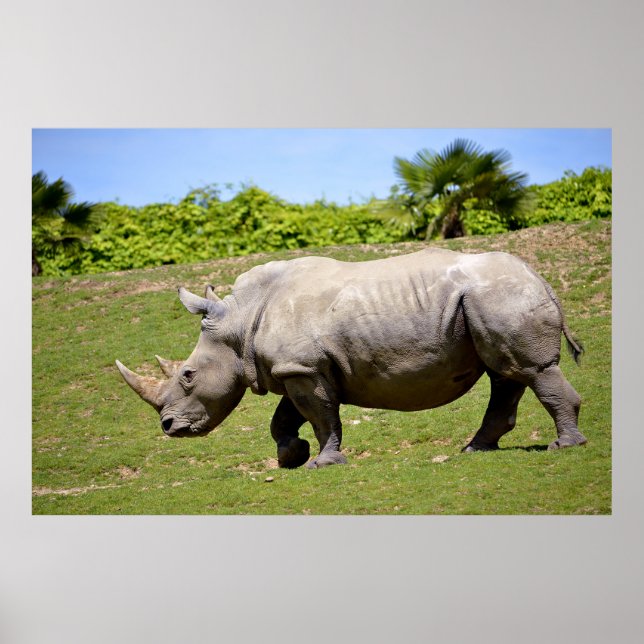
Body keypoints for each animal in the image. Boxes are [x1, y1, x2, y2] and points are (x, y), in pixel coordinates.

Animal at [116, 248, 587, 468]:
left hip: (501, 297)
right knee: (506, 373)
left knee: (531, 370)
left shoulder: (303, 368)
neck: (241, 320)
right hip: (491, 300)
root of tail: (539, 277)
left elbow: (322, 416)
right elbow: (285, 418)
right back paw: (476, 449)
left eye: (188, 375)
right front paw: (291, 456)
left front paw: (322, 463)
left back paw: (565, 447)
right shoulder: (298, 366)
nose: (168, 427)